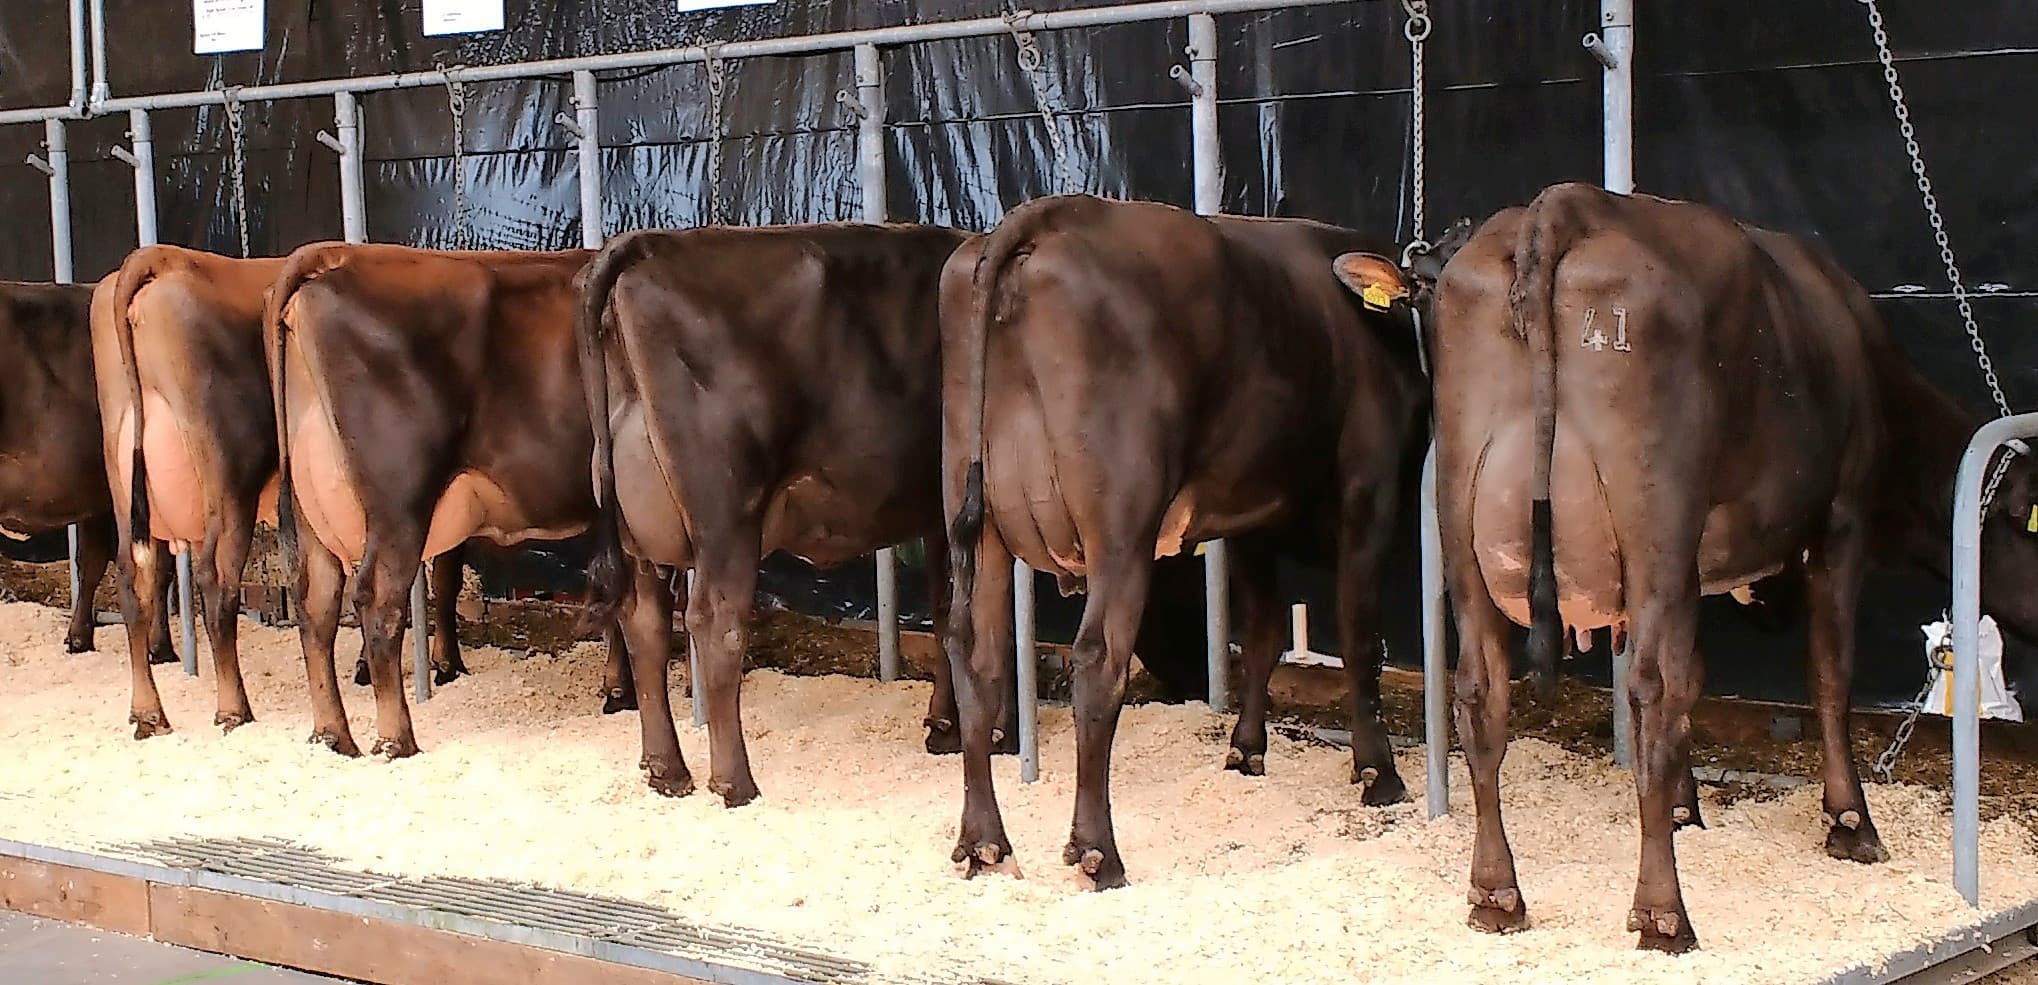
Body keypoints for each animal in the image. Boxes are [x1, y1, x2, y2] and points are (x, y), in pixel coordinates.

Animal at [265, 243, 632, 759]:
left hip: (312, 510)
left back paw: (334, 736)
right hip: (399, 503)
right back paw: (396, 738)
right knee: (377, 601)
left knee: (315, 606)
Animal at [577, 222, 986, 804]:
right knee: (714, 621)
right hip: (727, 514)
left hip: (639, 527)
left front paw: (943, 727)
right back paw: (734, 782)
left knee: (645, 624)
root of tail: (647, 244)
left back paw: (667, 770)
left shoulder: (936, 516)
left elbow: (944, 605)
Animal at [940, 195, 1430, 889]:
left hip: (976, 516)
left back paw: (984, 842)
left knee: (974, 657)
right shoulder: (1373, 490)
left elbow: (1264, 632)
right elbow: (1362, 641)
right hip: (1120, 523)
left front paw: (1247, 751)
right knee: (1098, 659)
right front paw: (1378, 774)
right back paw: (1097, 852)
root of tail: (1047, 216)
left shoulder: (1254, 514)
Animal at [1361, 182, 2038, 952]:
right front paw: (1851, 822)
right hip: (1655, 516)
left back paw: (1496, 894)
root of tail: (1561, 206)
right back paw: (1663, 913)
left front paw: (1685, 808)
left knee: (1482, 693)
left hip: (1466, 514)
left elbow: (1703, 672)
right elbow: (1828, 676)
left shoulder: (1698, 561)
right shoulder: (1841, 520)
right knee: (1654, 692)